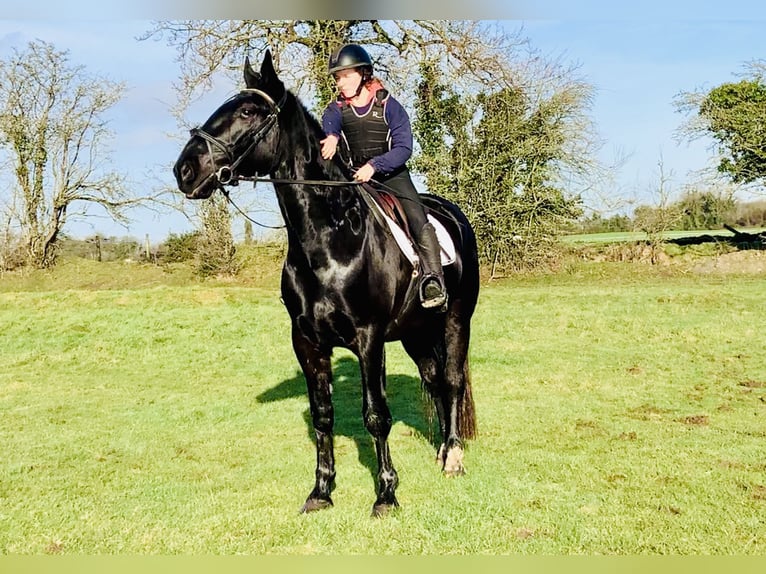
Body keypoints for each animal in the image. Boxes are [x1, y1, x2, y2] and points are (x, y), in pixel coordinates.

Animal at [174, 49, 480, 516]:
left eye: (247, 111)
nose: (185, 170)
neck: (330, 239)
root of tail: (451, 213)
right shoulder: (307, 341)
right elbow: (323, 415)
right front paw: (321, 490)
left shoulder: (369, 339)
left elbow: (376, 415)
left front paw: (386, 494)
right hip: (414, 331)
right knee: (433, 380)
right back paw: (443, 451)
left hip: (455, 320)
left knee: (451, 381)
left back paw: (455, 457)